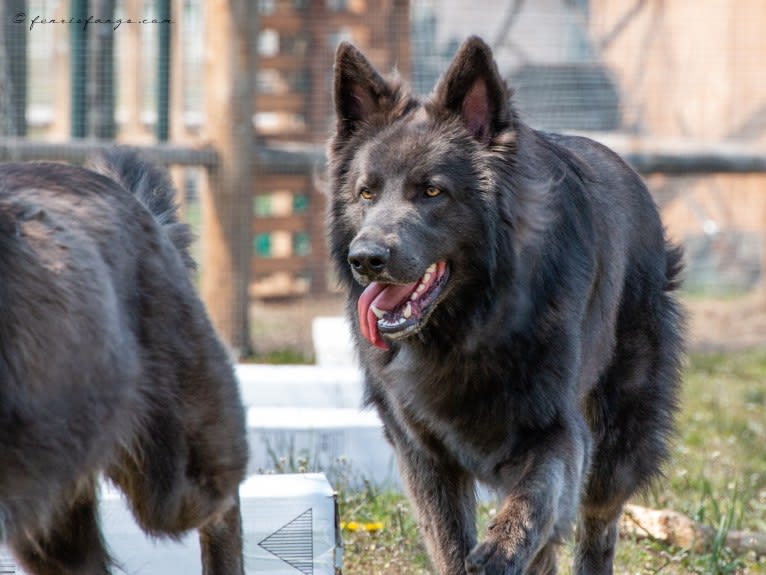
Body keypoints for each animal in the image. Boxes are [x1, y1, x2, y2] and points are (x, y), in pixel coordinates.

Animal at [328, 37, 688, 575]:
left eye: (431, 191)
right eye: (366, 193)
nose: (366, 260)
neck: (473, 326)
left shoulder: (558, 431)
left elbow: (534, 502)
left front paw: (500, 549)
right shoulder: (423, 454)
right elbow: (452, 543)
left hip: (620, 436)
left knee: (598, 523)